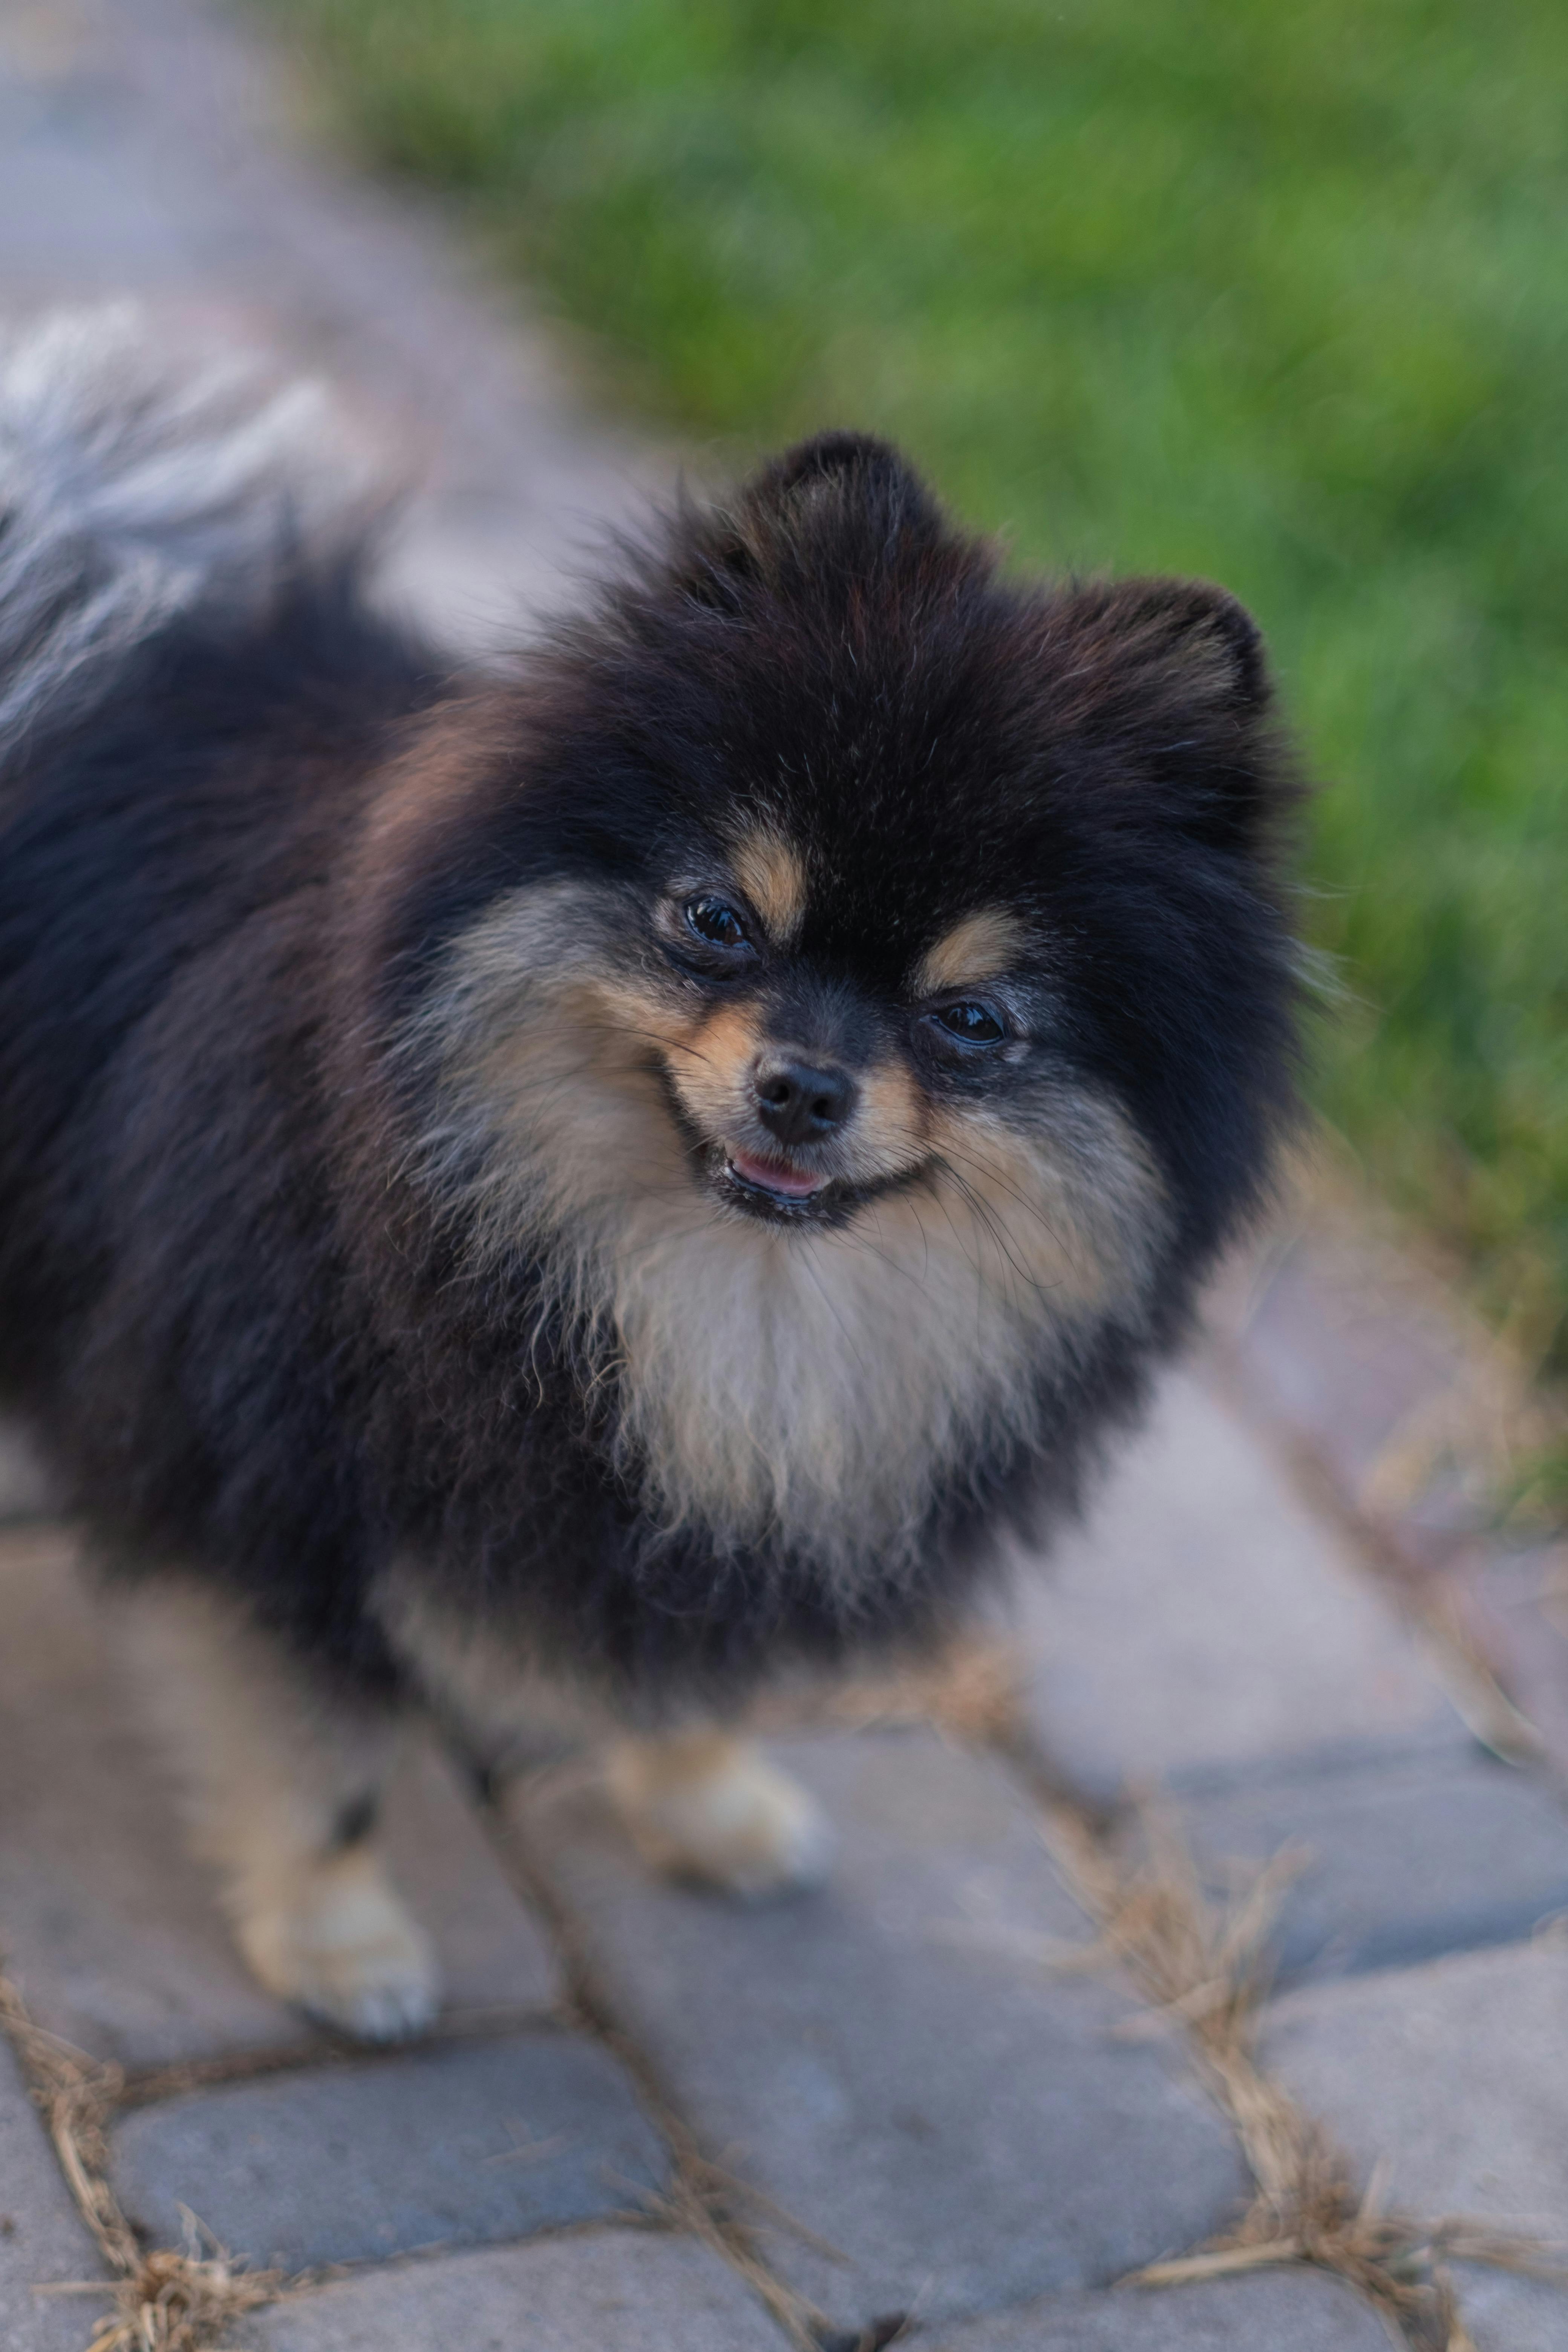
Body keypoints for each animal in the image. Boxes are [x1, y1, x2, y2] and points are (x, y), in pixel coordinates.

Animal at [0, 308, 1297, 2041]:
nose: (802, 1086)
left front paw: (709, 1805)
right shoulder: (270, 1467)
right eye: (717, 922)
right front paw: (342, 1946)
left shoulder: (694, 1513)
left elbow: (678, 1671)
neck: (707, 1283)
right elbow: (327, 1751)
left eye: (969, 1020)